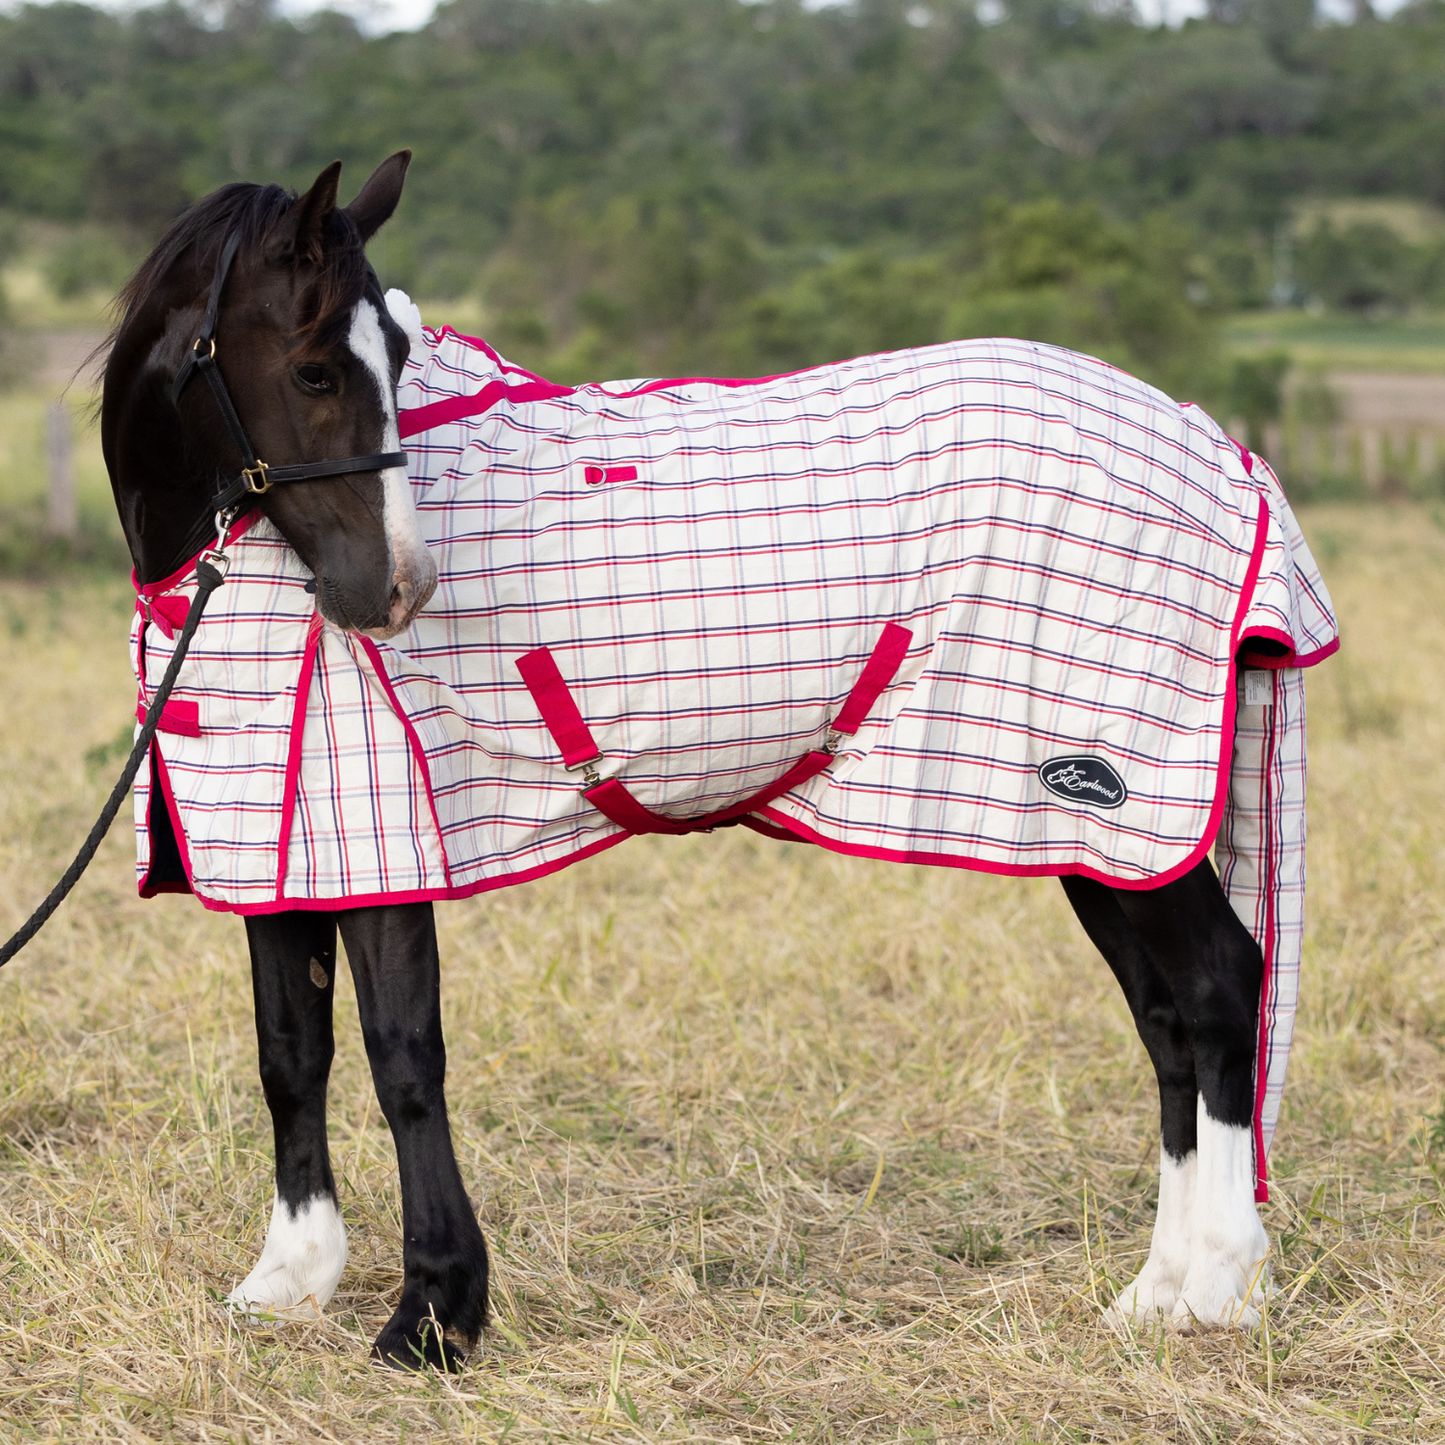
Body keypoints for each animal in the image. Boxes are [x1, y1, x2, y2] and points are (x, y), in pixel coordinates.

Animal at [98, 155, 1340, 1364]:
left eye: (393, 356)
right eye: (314, 368)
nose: (396, 590)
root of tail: (1218, 448)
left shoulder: (381, 837)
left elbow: (403, 1058)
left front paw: (435, 1313)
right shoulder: (275, 839)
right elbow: (289, 1052)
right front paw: (288, 1280)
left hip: (1120, 798)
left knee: (1218, 991)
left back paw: (1215, 1283)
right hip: (1093, 831)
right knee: (1167, 1020)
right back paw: (1156, 1292)